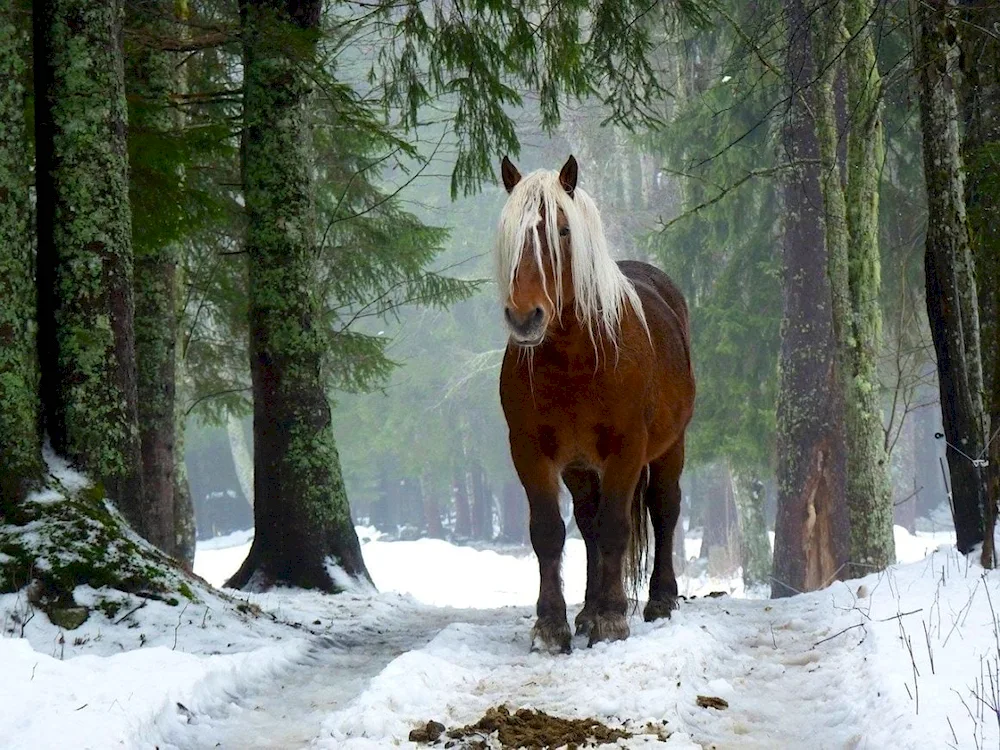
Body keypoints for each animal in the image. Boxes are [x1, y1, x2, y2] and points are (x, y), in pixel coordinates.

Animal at [494, 157, 696, 652]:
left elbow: (616, 527)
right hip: (580, 466)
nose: (525, 317)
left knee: (664, 509)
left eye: (563, 231)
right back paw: (586, 610)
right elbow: (550, 532)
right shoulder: (532, 453)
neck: (577, 357)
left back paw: (659, 600)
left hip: (670, 447)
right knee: (586, 525)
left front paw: (612, 618)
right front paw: (552, 625)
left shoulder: (627, 450)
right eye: (509, 232)